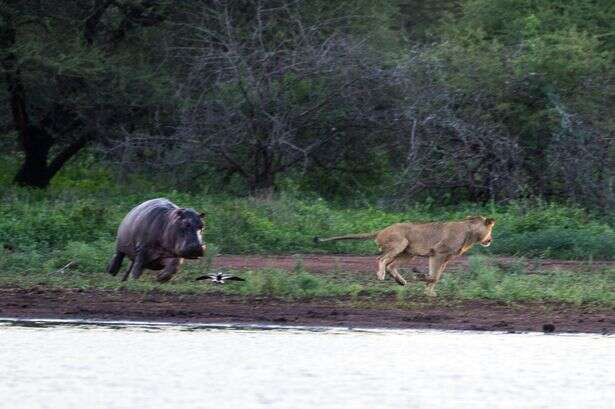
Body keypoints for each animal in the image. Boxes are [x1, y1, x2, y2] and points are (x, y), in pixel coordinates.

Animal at [316, 215, 498, 294]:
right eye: (491, 229)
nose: (490, 240)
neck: (470, 232)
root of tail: (380, 231)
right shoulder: (438, 253)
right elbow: (435, 276)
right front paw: (423, 281)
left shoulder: (445, 258)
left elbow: (436, 276)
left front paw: (427, 288)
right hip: (400, 243)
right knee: (381, 259)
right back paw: (381, 275)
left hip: (408, 253)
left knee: (391, 265)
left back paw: (401, 281)